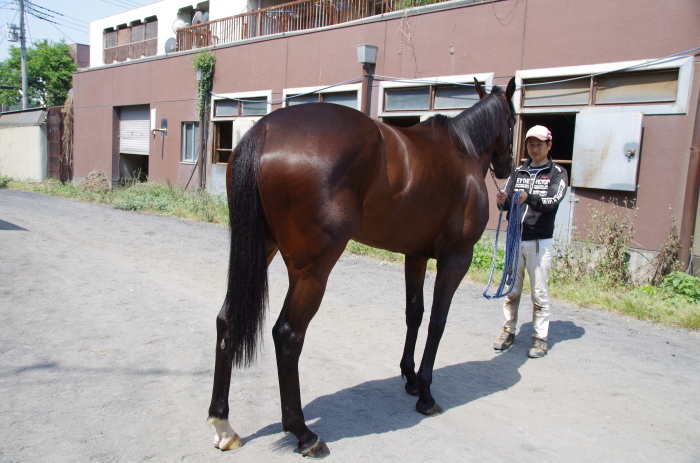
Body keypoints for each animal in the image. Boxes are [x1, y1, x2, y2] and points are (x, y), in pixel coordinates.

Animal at [206, 78, 516, 458]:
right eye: (513, 121)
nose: (507, 167)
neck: (462, 151)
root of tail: (264, 130)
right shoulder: (456, 259)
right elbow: (437, 322)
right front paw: (426, 394)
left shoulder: (415, 256)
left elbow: (414, 314)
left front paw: (411, 379)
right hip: (312, 271)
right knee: (288, 335)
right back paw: (304, 434)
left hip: (259, 248)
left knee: (228, 319)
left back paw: (223, 425)